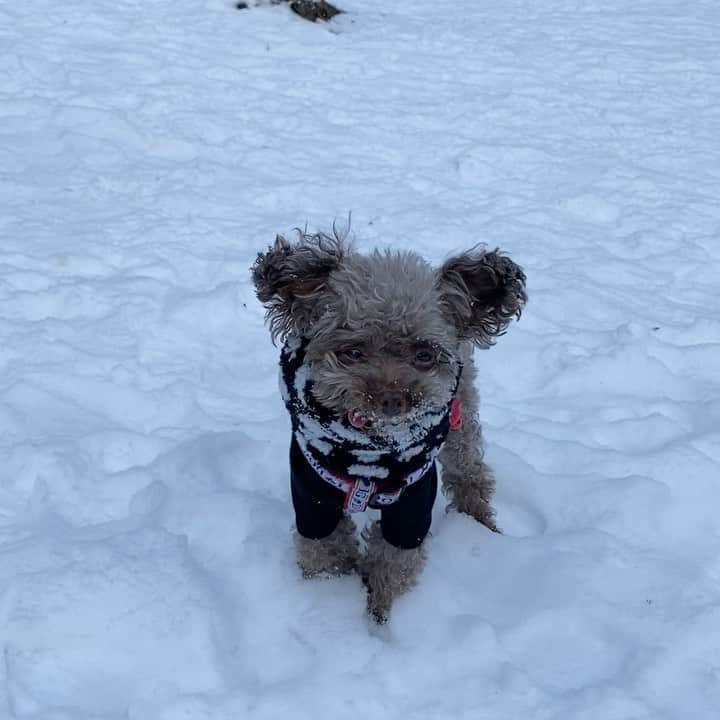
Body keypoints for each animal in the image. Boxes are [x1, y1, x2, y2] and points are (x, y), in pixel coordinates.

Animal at [250, 232, 524, 624]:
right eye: (352, 352)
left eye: (424, 354)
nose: (392, 398)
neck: (369, 450)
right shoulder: (312, 490)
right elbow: (325, 552)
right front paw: (332, 597)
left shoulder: (413, 497)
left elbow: (394, 563)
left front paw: (378, 615)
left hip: (461, 417)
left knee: (469, 471)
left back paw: (482, 523)